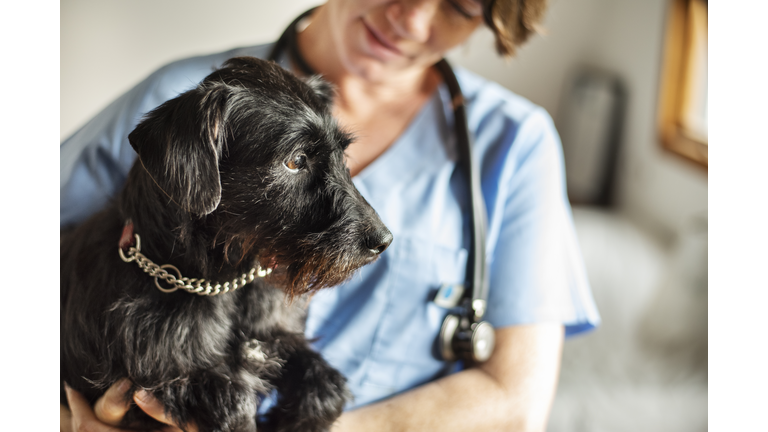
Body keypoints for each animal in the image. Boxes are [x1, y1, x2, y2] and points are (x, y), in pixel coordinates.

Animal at [60, 56, 392, 432]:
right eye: (296, 160)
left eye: (342, 154)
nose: (384, 241)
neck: (225, 282)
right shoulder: (169, 380)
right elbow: (233, 403)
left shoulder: (275, 339)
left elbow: (328, 386)